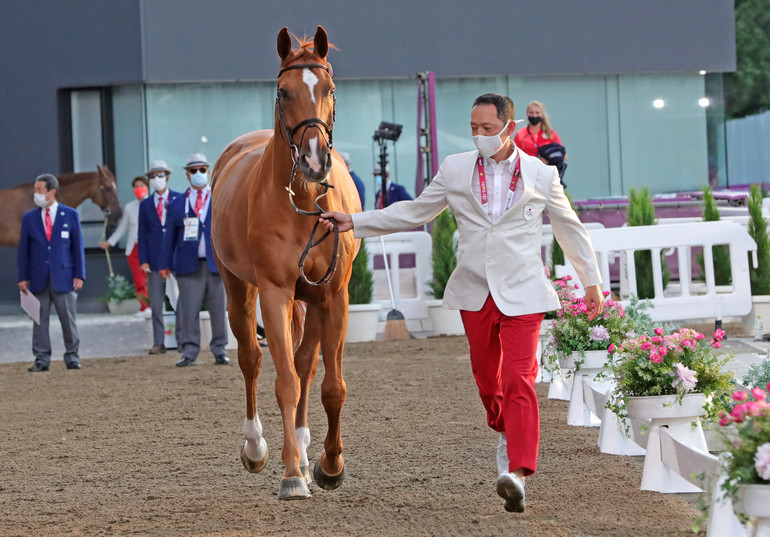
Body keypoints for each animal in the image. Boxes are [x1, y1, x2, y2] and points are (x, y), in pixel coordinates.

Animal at [212, 27, 362, 500]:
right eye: (284, 91)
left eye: (330, 89)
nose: (315, 161)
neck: (305, 202)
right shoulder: (275, 292)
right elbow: (285, 381)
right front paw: (292, 473)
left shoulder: (333, 296)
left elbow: (330, 386)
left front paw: (329, 465)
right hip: (237, 288)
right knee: (252, 360)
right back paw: (257, 447)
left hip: (310, 301)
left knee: (306, 363)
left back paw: (302, 443)